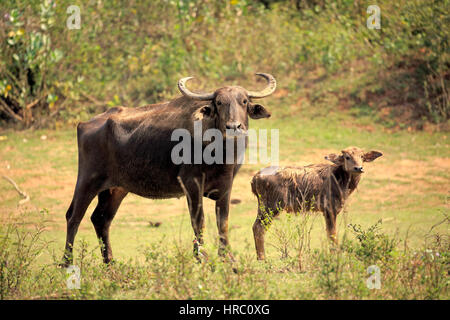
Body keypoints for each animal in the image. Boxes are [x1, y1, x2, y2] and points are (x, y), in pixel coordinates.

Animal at [61, 74, 276, 266]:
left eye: (244, 101)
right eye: (219, 102)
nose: (234, 126)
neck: (219, 152)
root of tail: (86, 124)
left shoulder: (226, 185)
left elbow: (222, 222)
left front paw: (227, 257)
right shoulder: (191, 184)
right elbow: (199, 221)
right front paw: (202, 256)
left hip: (116, 189)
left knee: (101, 219)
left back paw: (110, 262)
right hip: (88, 180)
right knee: (73, 216)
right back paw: (67, 262)